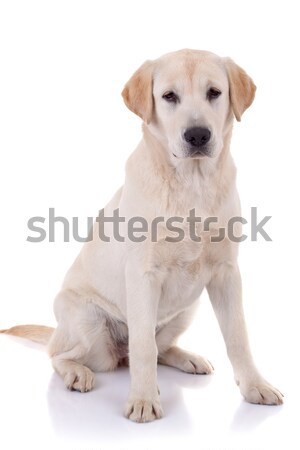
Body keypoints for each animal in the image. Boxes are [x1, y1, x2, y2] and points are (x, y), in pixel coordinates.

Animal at [0, 49, 282, 422]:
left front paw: (255, 386)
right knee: (62, 355)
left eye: (214, 93)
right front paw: (144, 399)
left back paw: (188, 357)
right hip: (86, 321)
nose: (197, 136)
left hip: (186, 309)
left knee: (158, 349)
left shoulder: (226, 274)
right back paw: (78, 372)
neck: (192, 184)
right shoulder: (143, 275)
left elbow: (238, 337)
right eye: (169, 96)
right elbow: (144, 347)